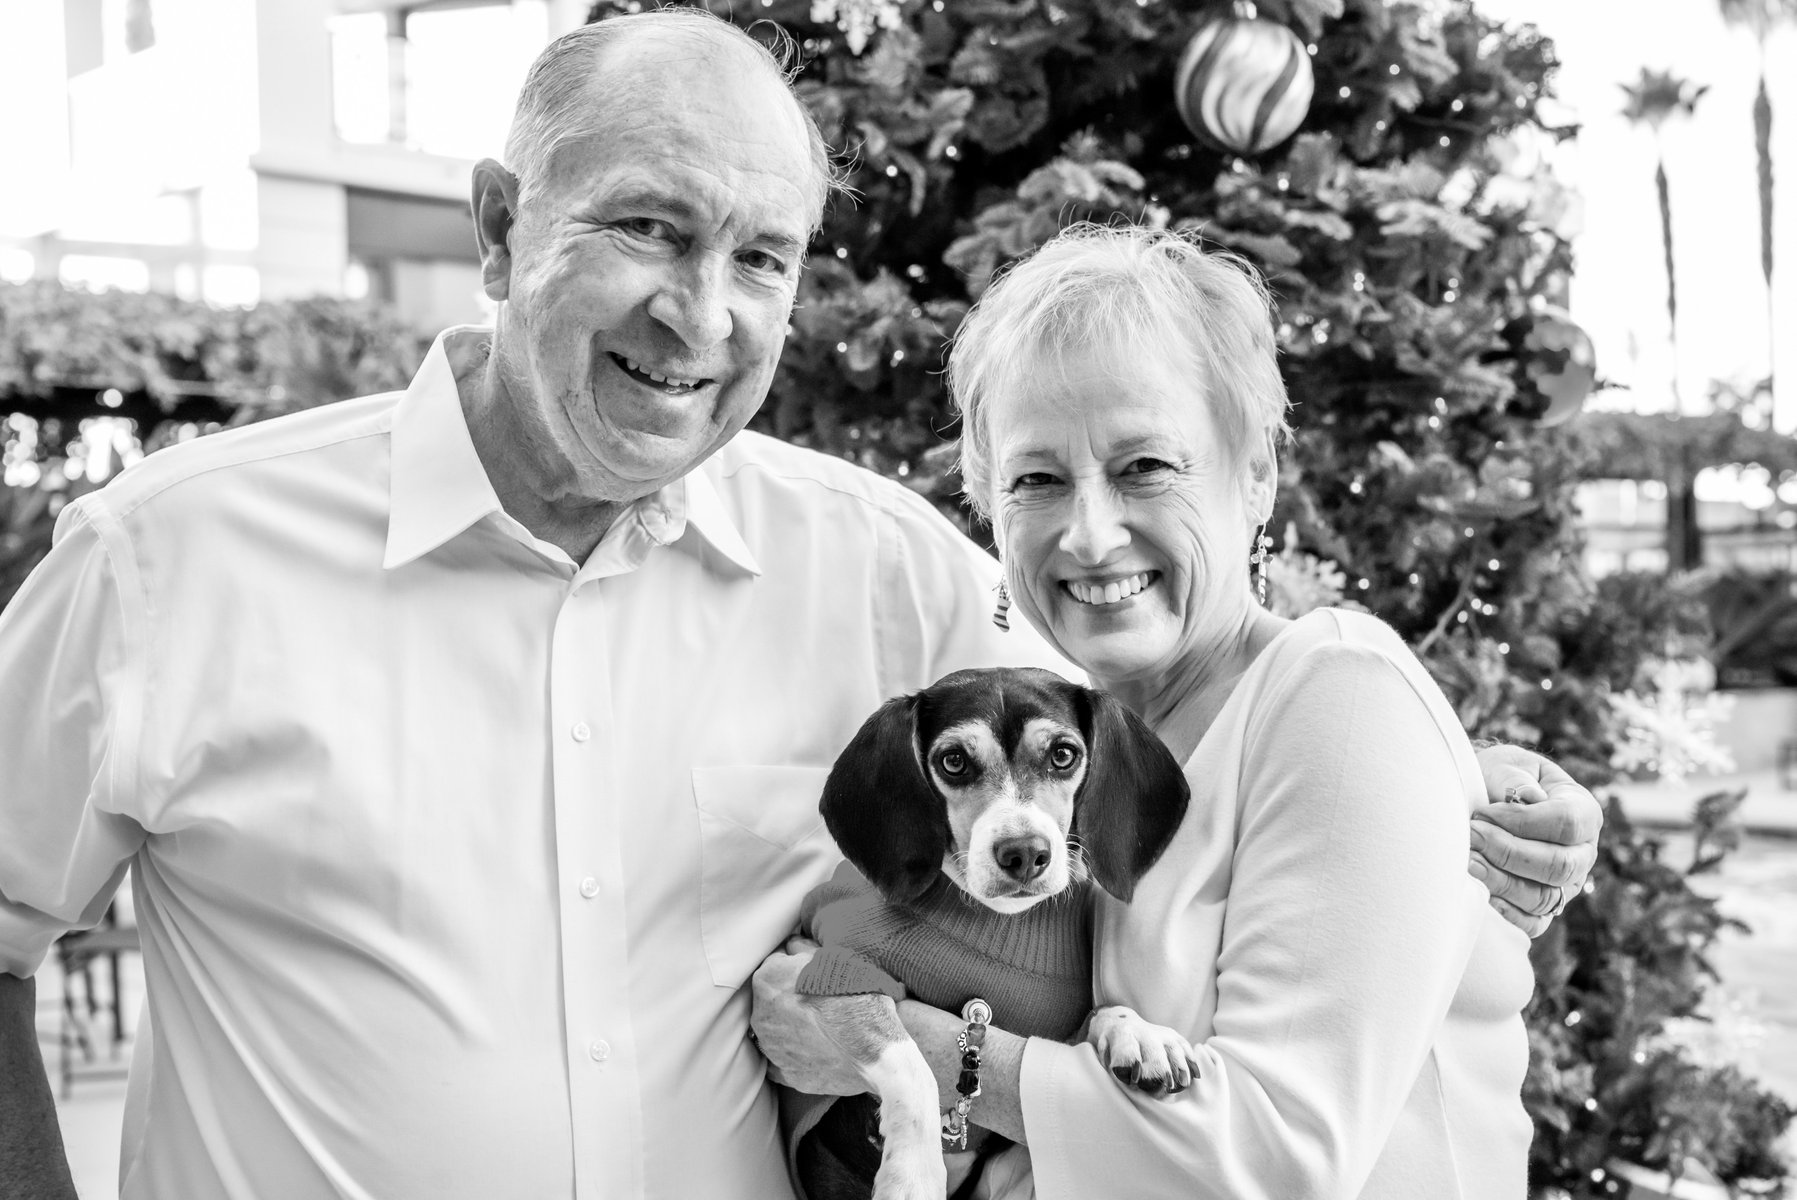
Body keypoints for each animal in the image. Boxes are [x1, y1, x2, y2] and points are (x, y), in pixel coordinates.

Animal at [788, 667, 1197, 1200]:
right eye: (954, 761)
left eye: (1063, 754)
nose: (1023, 853)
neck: (997, 917)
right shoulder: (844, 971)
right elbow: (912, 1065)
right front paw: (913, 1174)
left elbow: (1098, 1013)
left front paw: (1141, 1033)